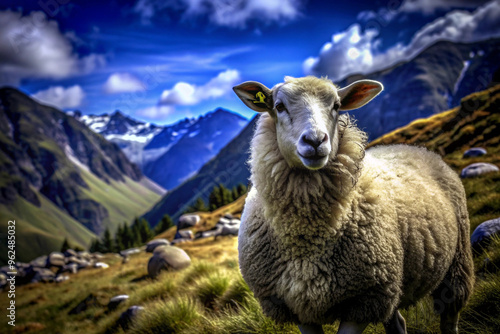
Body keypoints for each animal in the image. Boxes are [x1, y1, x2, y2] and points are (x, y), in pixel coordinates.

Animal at [233, 76, 472, 334]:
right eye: (279, 106)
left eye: (337, 106)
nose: (315, 141)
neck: (307, 240)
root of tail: (417, 148)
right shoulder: (296, 308)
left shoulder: (364, 300)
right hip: (393, 284)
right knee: (398, 322)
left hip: (456, 262)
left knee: (450, 313)